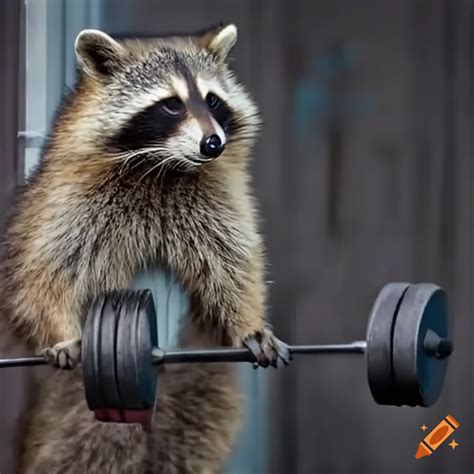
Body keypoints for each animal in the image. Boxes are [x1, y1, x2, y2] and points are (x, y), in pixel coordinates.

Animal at [1, 24, 288, 472]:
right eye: (171, 105)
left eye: (212, 100)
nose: (213, 143)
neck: (165, 165)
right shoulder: (67, 202)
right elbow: (47, 275)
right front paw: (60, 329)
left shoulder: (215, 200)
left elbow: (233, 263)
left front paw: (249, 322)